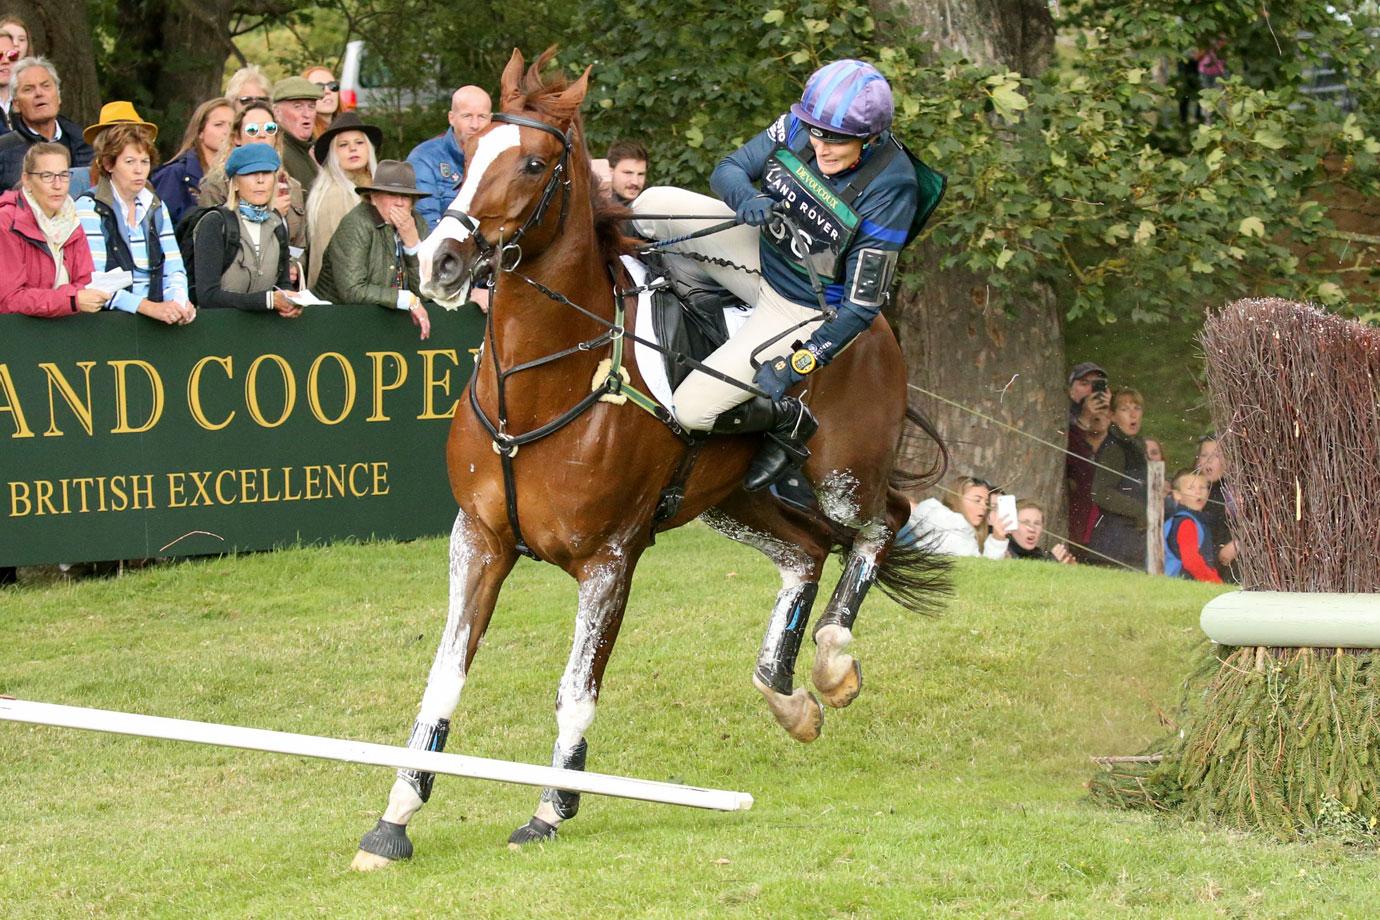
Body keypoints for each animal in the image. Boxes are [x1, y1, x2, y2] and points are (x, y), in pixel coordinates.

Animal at [350, 50, 943, 871]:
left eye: (532, 164)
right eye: (466, 155)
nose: (439, 260)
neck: (541, 382)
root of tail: (873, 323)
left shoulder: (611, 558)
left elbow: (576, 690)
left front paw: (551, 808)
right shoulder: (479, 539)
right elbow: (444, 677)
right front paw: (395, 818)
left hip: (842, 474)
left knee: (883, 521)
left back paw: (832, 658)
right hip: (733, 498)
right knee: (805, 552)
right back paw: (787, 694)